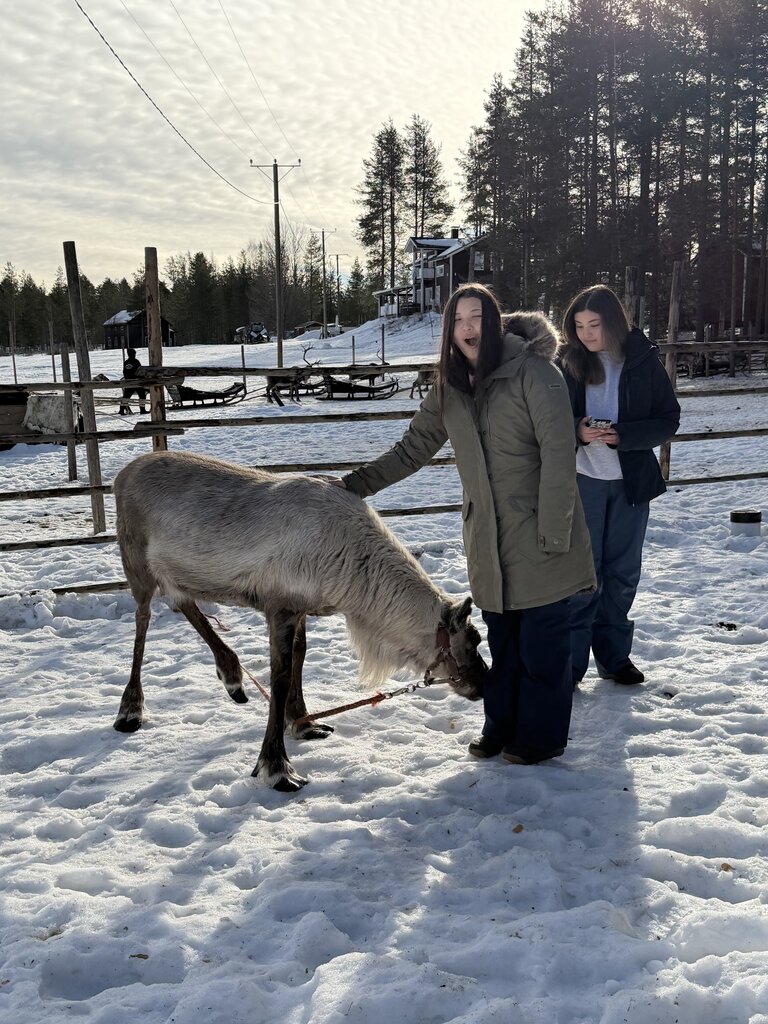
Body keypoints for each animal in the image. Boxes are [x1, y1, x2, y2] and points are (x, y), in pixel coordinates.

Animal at [112, 451, 487, 791]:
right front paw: (277, 766)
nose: (484, 683)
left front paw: (304, 722)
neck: (352, 571)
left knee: (184, 602)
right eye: (473, 640)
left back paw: (232, 676)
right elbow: (280, 676)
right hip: (135, 560)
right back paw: (130, 709)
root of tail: (122, 473)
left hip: (178, 571)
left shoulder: (301, 607)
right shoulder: (279, 606)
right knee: (143, 618)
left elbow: (300, 658)